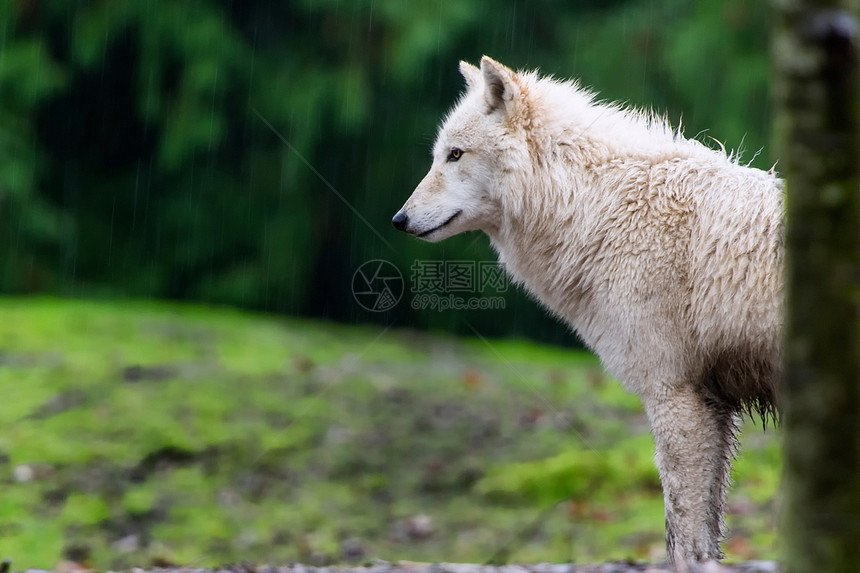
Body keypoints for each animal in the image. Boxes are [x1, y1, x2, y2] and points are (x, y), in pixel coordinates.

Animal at [394, 55, 784, 564]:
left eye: (455, 155)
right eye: (440, 155)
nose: (398, 219)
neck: (596, 208)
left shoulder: (675, 394)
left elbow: (683, 535)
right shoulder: (710, 402)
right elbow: (700, 536)